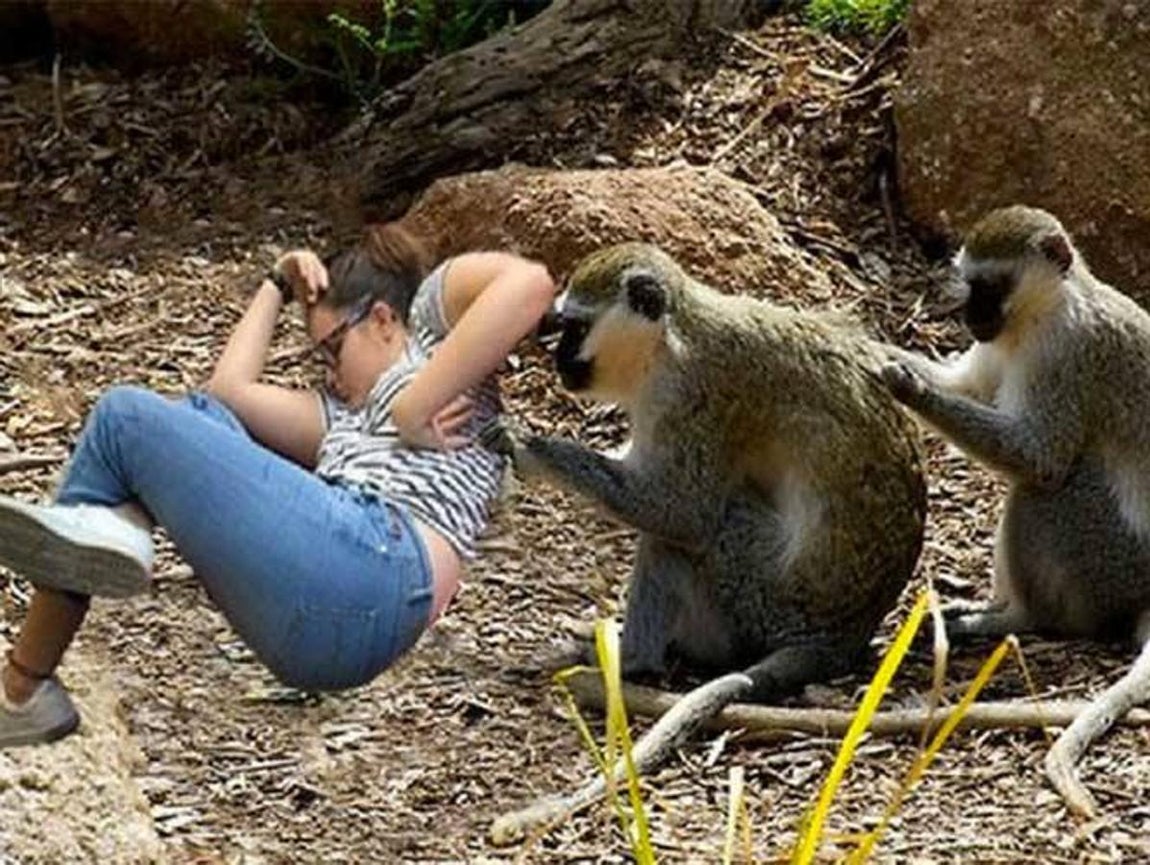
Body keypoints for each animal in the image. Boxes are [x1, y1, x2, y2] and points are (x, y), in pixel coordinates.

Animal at [481, 242, 926, 842]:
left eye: (574, 327)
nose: (560, 363)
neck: (673, 335)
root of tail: (838, 637)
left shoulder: (692, 397)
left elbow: (680, 511)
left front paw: (529, 447)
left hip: (754, 595)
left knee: (688, 533)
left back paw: (633, 660)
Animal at [880, 204, 1150, 818]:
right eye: (970, 285)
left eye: (993, 286)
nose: (969, 316)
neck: (1040, 313)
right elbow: (968, 385)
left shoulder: (1068, 353)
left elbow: (1040, 458)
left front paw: (907, 387)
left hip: (1111, 560)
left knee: (1047, 491)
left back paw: (1015, 619)